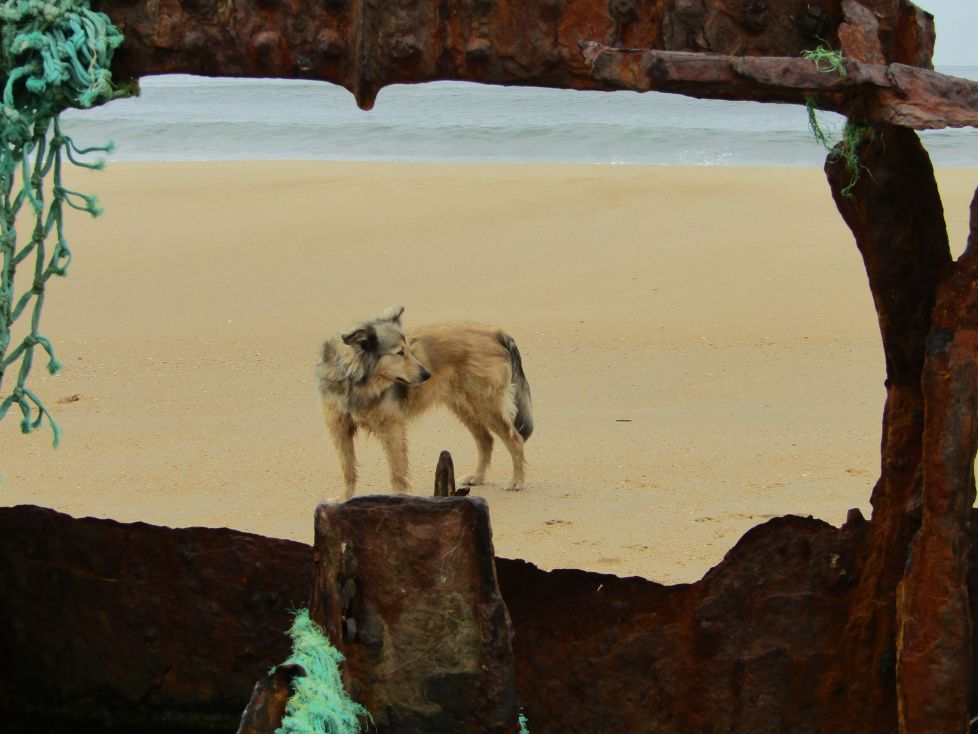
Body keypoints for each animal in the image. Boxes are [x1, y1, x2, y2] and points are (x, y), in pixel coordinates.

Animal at [318, 304, 532, 500]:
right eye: (399, 353)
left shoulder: (391, 427)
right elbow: (347, 468)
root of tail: (496, 332)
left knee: (515, 439)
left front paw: (397, 498)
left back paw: (516, 481)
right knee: (486, 440)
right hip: (466, 406)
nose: (427, 374)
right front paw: (343, 498)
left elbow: (397, 470)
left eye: (408, 350)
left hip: (485, 404)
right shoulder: (340, 429)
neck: (355, 382)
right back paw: (477, 477)